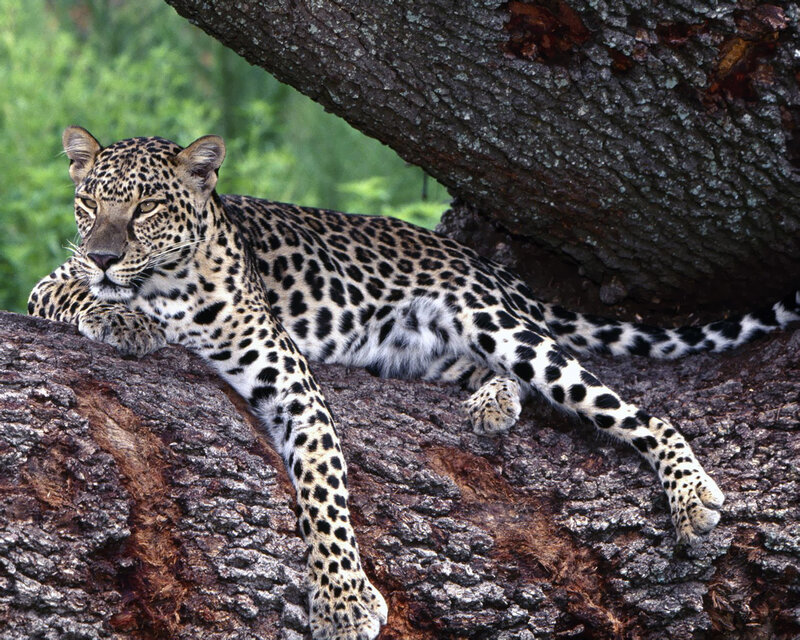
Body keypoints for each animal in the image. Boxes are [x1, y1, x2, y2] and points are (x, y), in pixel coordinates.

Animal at [29, 127, 800, 640]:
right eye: (88, 203)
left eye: (146, 209)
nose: (104, 255)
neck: (167, 283)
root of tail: (480, 262)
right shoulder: (47, 284)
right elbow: (70, 293)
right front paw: (120, 315)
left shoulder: (291, 382)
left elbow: (323, 489)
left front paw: (343, 600)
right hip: (427, 351)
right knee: (511, 381)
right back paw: (493, 401)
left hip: (499, 324)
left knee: (634, 409)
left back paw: (689, 491)